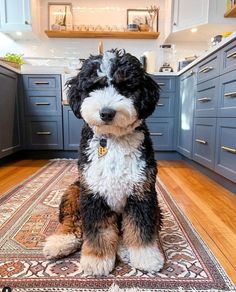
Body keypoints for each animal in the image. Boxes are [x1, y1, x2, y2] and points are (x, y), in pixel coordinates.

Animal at [43, 49, 164, 276]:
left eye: (125, 87)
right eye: (94, 86)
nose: (107, 112)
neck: (112, 139)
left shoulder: (141, 192)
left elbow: (140, 226)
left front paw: (146, 257)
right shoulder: (93, 193)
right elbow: (98, 231)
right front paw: (96, 260)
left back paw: (125, 249)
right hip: (74, 190)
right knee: (71, 220)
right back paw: (60, 242)